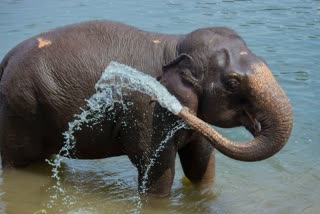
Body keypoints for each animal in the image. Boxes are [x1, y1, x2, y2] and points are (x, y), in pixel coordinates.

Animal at [0, 20, 292, 196]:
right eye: (232, 83)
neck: (174, 44)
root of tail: (6, 60)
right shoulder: (145, 113)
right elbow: (157, 174)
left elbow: (201, 164)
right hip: (20, 111)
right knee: (18, 162)